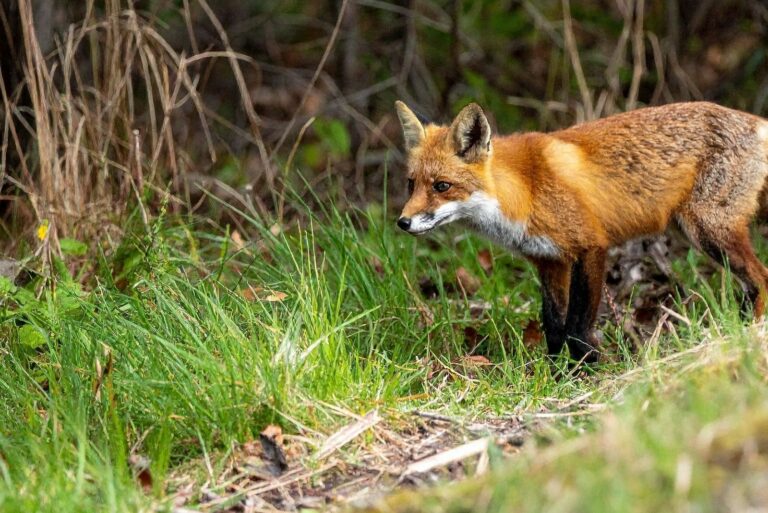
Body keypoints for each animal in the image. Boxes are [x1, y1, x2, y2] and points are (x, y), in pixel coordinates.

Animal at [395, 100, 768, 363]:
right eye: (411, 184)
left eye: (442, 186)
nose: (403, 222)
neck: (525, 191)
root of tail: (755, 120)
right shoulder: (549, 261)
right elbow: (553, 325)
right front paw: (553, 373)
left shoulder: (591, 247)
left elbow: (577, 327)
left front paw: (586, 371)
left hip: (708, 231)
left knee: (761, 278)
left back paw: (752, 335)